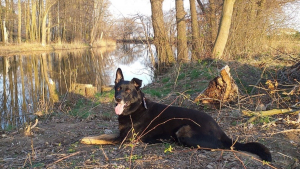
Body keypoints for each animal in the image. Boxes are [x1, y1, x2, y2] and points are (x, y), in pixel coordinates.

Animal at [80, 68, 272, 162]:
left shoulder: (125, 139)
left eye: (127, 91)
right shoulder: (121, 134)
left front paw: (87, 140)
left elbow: (103, 139)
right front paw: (89, 137)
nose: (118, 98)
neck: (135, 108)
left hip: (184, 131)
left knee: (216, 147)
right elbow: (104, 135)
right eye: (118, 89)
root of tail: (221, 132)